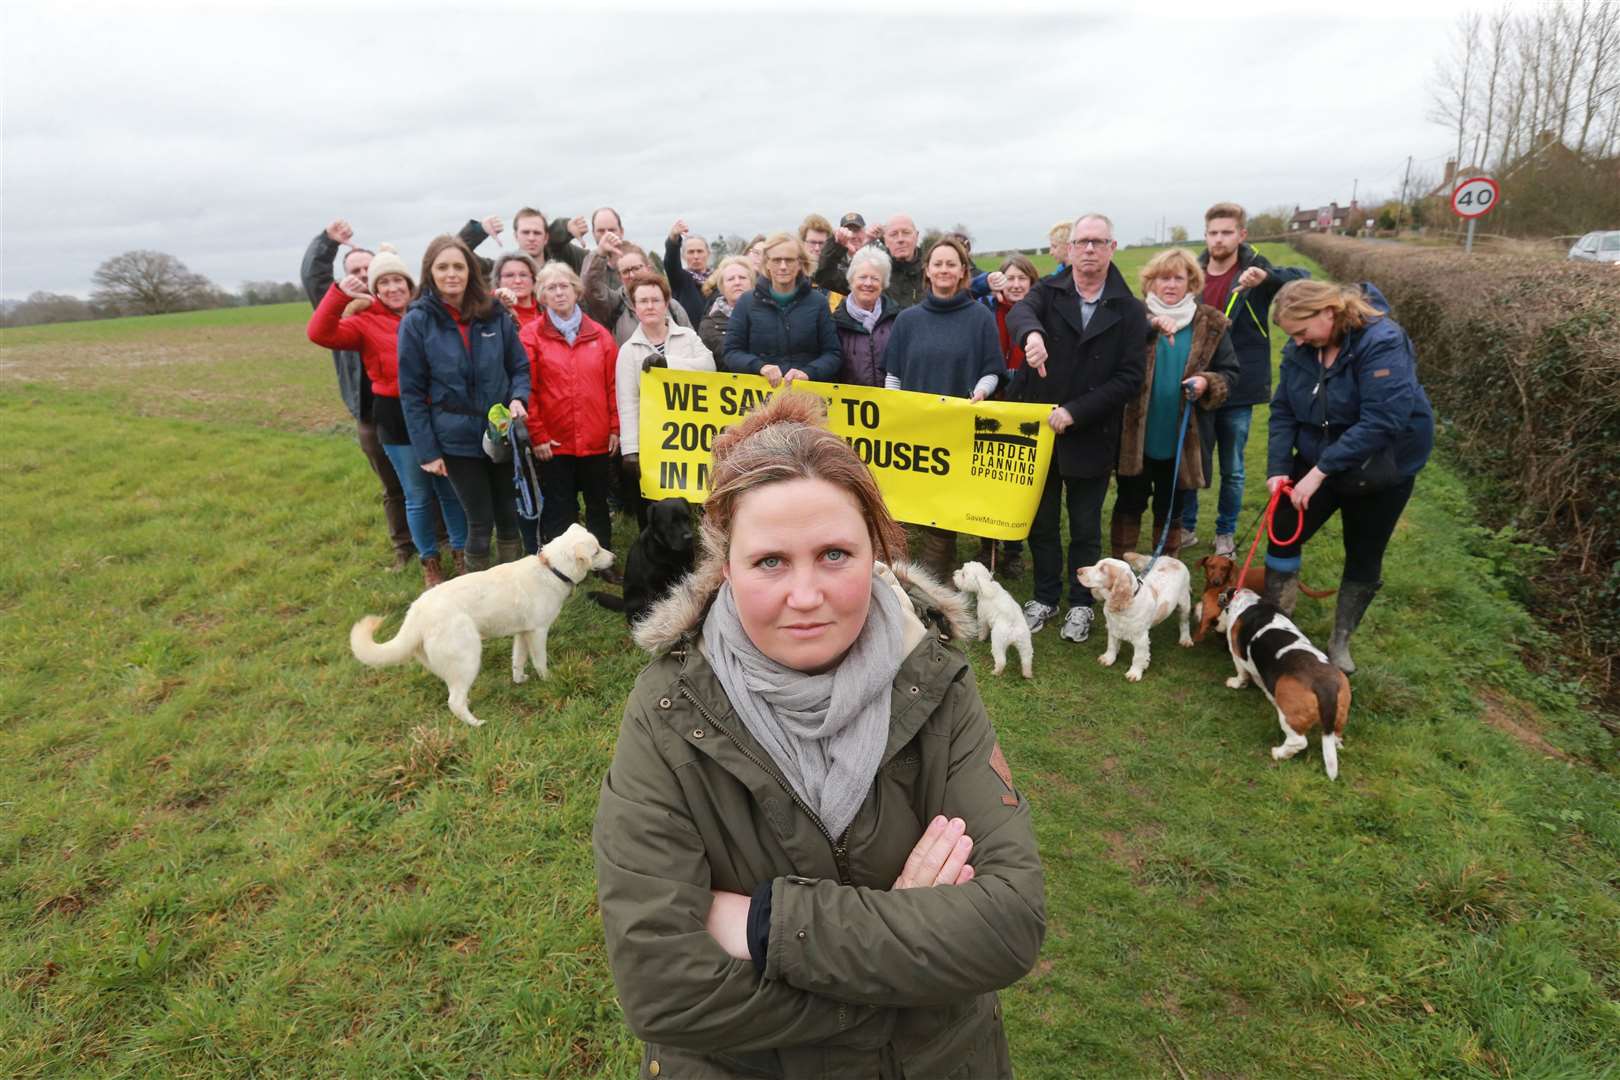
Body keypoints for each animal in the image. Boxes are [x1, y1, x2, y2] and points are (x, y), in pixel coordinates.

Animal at [349, 524, 612, 725]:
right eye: (596, 551)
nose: (615, 557)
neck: (551, 569)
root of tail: (417, 612)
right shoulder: (538, 632)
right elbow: (540, 662)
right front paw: (549, 680)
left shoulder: (522, 632)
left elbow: (518, 661)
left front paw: (520, 680)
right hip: (468, 656)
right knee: (453, 702)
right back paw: (476, 724)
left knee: (455, 691)